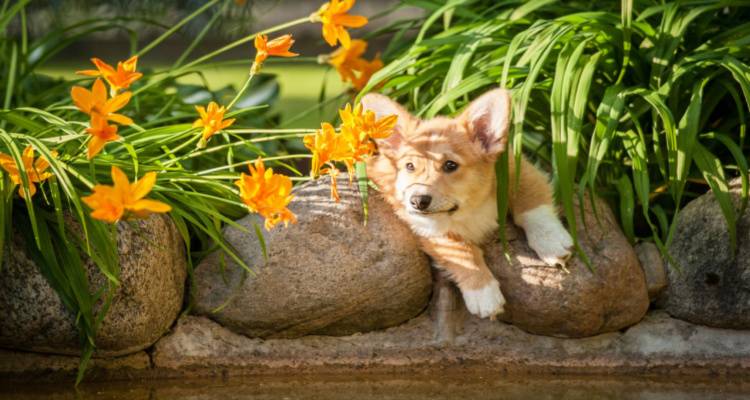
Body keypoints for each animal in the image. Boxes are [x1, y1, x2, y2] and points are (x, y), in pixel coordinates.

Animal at [364, 88, 576, 318]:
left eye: (450, 165)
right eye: (410, 166)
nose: (418, 201)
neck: (471, 207)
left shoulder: (515, 169)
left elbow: (531, 203)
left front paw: (551, 241)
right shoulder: (424, 225)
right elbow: (461, 250)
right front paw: (483, 292)